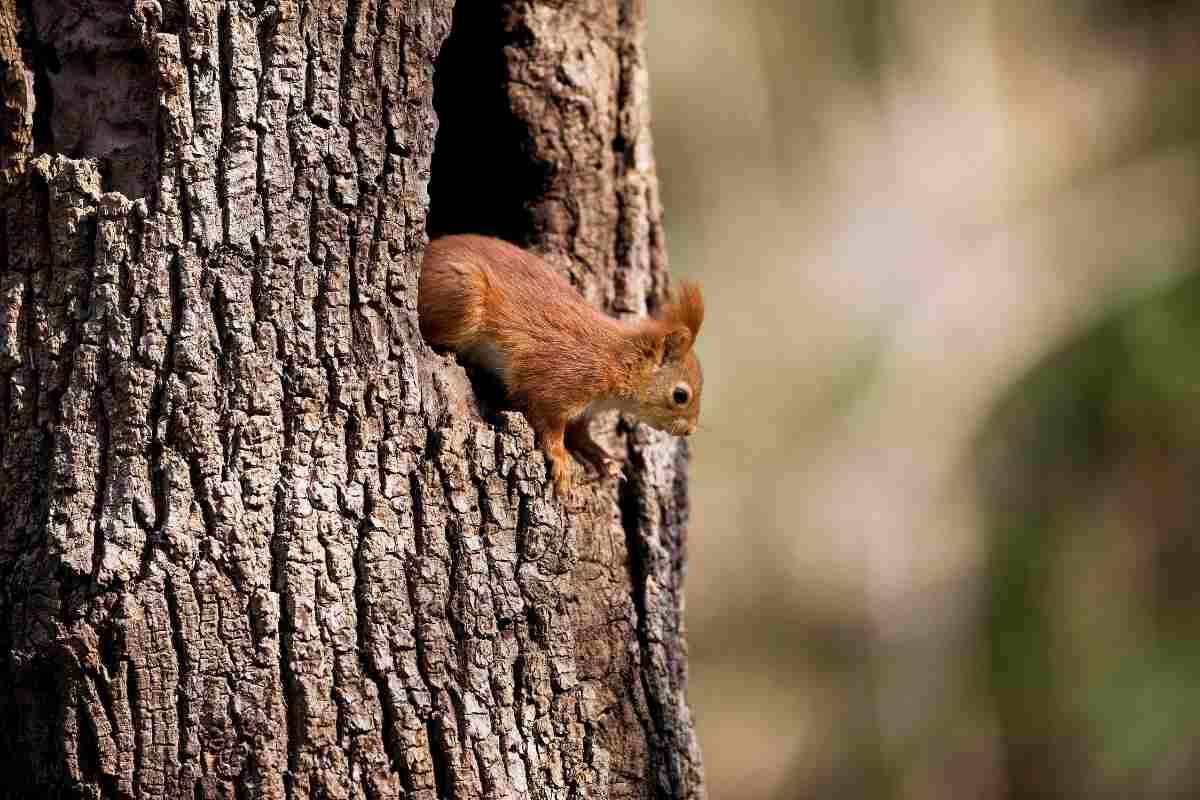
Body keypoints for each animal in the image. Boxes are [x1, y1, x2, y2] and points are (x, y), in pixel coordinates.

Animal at [418, 234, 703, 498]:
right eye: (681, 395)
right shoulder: (557, 383)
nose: (689, 431)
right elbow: (549, 424)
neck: (617, 361)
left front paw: (602, 457)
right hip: (462, 295)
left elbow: (579, 434)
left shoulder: (584, 411)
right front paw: (560, 461)